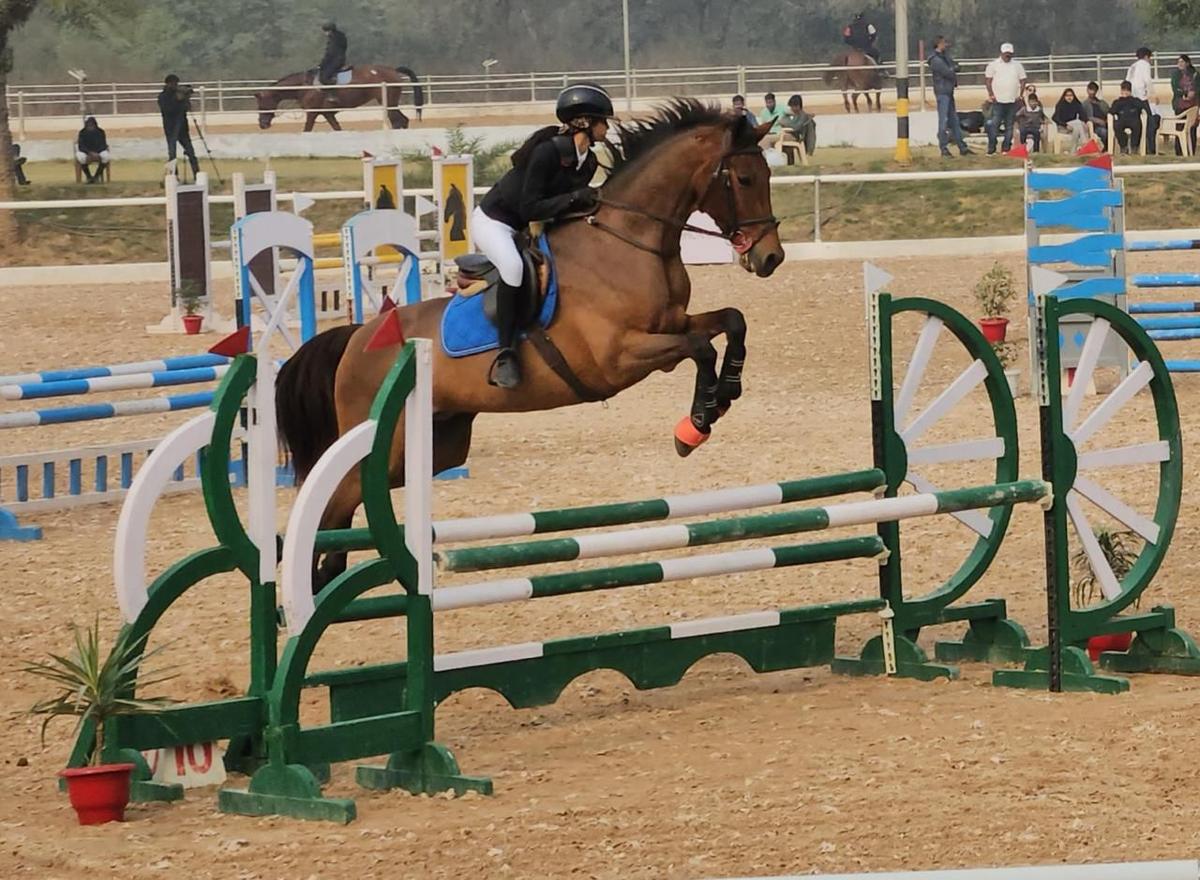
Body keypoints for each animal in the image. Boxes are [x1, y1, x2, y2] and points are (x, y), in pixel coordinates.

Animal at [255, 63, 424, 132]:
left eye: (262, 104)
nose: (262, 125)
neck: (305, 86)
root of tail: (393, 70)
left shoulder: (312, 113)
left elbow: (307, 130)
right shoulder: (328, 114)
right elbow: (337, 129)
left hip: (388, 102)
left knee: (398, 121)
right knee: (402, 120)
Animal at [276, 101, 792, 590]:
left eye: (768, 175)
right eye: (745, 178)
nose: (770, 257)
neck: (630, 242)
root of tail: (357, 337)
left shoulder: (672, 325)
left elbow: (731, 322)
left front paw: (725, 394)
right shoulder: (621, 357)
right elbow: (701, 348)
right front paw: (697, 424)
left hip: (431, 450)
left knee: (346, 512)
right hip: (383, 444)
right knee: (330, 508)